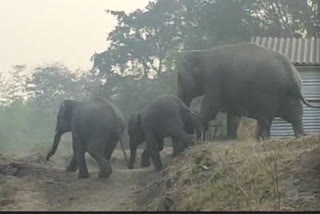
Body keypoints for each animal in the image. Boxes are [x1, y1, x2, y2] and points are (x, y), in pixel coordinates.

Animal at [178, 42, 320, 140]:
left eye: (179, 78)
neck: (203, 53)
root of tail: (293, 74)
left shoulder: (213, 78)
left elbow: (211, 104)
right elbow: (232, 113)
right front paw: (228, 138)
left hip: (270, 93)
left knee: (267, 116)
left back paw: (264, 138)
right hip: (288, 94)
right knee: (294, 114)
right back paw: (300, 135)